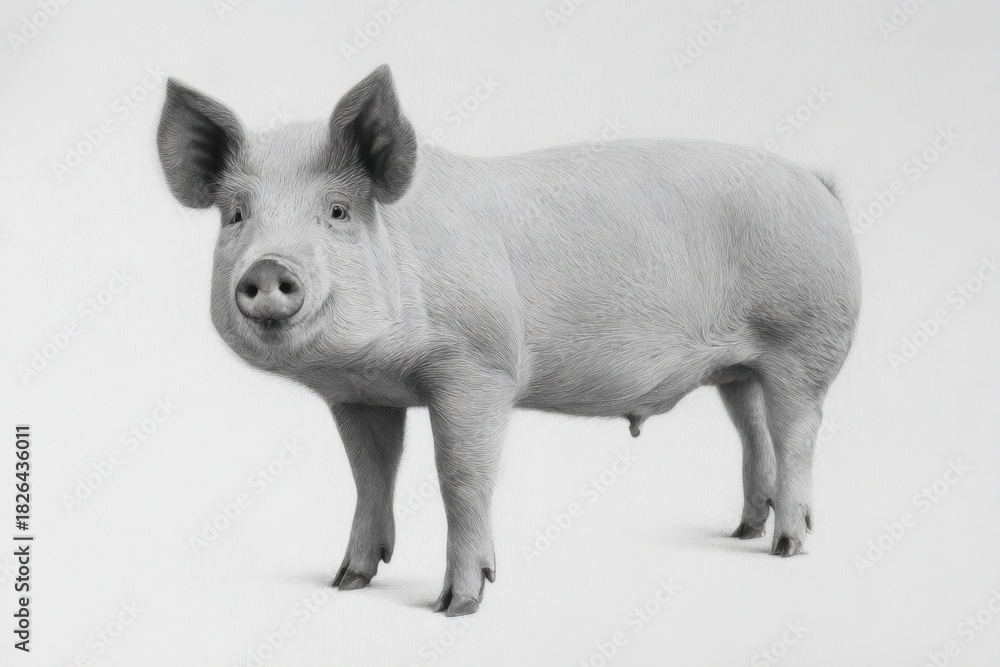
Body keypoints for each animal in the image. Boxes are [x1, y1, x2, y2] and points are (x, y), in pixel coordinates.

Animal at [157, 65, 860, 616]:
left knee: (798, 433)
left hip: (806, 340)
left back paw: (787, 546)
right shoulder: (360, 394)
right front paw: (346, 582)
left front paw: (457, 605)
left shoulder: (479, 367)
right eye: (237, 215)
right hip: (742, 364)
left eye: (337, 212)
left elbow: (460, 476)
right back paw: (743, 531)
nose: (268, 268)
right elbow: (369, 474)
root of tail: (819, 184)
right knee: (753, 428)